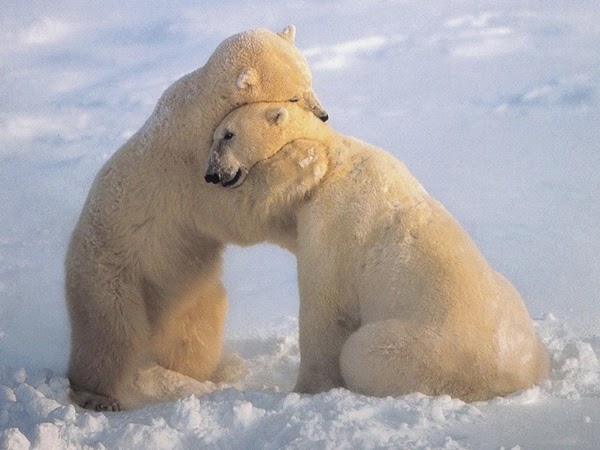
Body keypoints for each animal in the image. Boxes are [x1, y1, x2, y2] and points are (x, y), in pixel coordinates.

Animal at [65, 24, 328, 412]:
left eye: (310, 80)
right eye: (294, 96)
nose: (324, 116)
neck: (202, 107)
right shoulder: (191, 172)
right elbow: (236, 213)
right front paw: (306, 159)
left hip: (188, 290)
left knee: (196, 330)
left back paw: (212, 372)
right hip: (110, 277)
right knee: (111, 336)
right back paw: (98, 396)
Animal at [205, 101, 548, 400]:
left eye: (228, 134)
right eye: (217, 135)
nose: (211, 174)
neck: (336, 158)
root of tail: (508, 378)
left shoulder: (333, 223)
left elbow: (325, 307)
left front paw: (306, 389)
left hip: (422, 350)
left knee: (359, 353)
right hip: (508, 299)